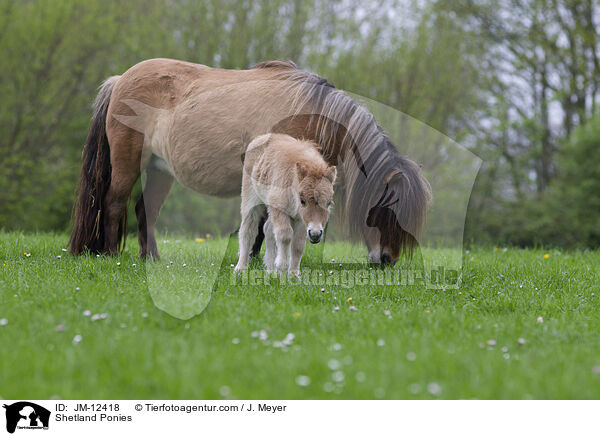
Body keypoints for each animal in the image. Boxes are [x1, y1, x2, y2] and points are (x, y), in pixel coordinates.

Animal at [236, 134, 338, 276]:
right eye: (302, 200)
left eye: (328, 202)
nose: (315, 234)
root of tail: (259, 138)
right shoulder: (279, 208)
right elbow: (285, 236)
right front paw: (282, 270)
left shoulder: (301, 219)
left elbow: (298, 244)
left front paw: (293, 274)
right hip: (251, 201)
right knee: (248, 230)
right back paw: (240, 269)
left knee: (268, 229)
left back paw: (270, 270)